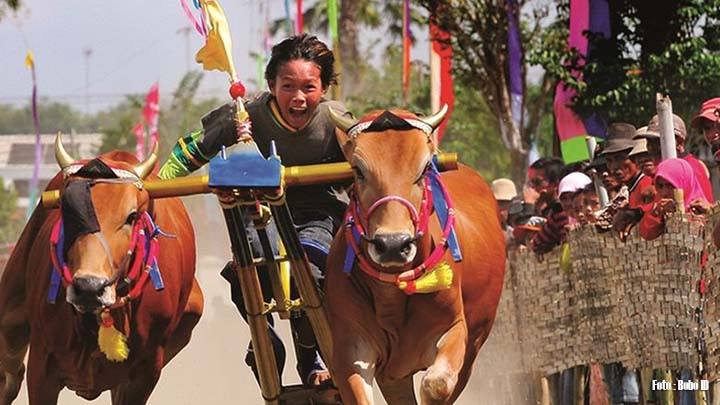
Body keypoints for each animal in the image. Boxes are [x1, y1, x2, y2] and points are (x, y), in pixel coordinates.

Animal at [0, 137, 202, 402]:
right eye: (66, 210)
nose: (89, 287)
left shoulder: (143, 375)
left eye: (132, 216)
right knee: (10, 373)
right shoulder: (41, 368)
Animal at [326, 106, 506, 400]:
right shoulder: (352, 346)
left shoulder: (454, 330)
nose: (392, 244)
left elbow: (437, 384)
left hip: (476, 341)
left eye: (423, 170)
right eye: (358, 170)